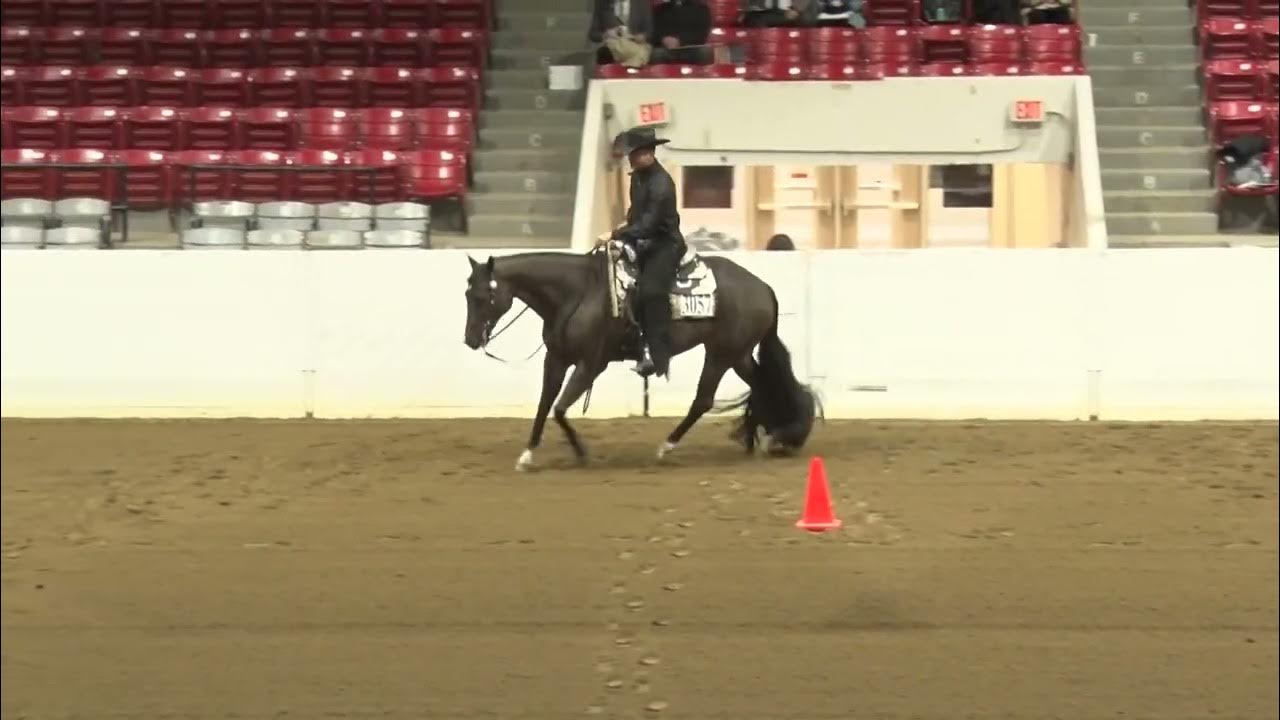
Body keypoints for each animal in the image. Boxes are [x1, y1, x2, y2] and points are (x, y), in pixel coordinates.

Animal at [462, 242, 819, 471]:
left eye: (482, 296)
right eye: (467, 293)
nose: (469, 340)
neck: (577, 293)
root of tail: (764, 288)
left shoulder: (590, 365)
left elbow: (560, 410)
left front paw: (582, 453)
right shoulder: (557, 359)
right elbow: (544, 405)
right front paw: (527, 455)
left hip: (721, 353)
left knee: (704, 400)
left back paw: (667, 447)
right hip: (739, 354)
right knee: (762, 385)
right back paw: (766, 438)